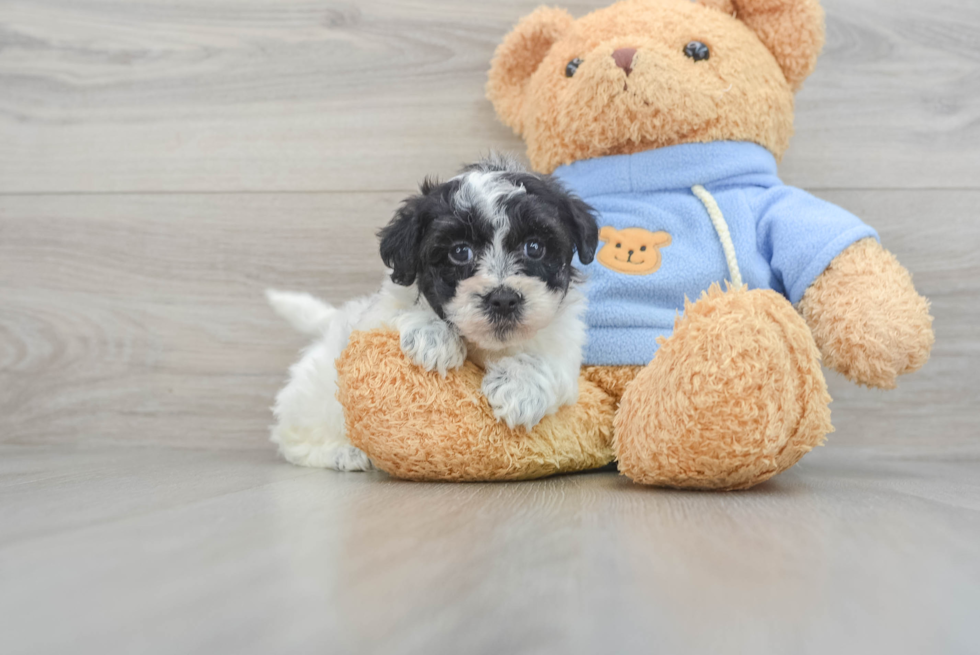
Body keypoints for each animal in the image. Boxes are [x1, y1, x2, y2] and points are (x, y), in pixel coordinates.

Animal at [272, 154, 600, 472]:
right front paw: (433, 336)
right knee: (294, 438)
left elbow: (549, 365)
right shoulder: (374, 317)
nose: (503, 299)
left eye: (535, 247)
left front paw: (520, 388)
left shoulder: (564, 347)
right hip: (317, 398)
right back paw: (344, 453)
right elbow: (403, 310)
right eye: (460, 252)